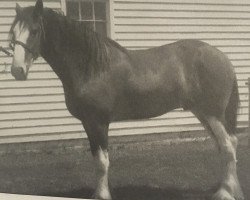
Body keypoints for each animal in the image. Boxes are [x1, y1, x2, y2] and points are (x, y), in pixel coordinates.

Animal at [9, 0, 244, 200]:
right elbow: (97, 158)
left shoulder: (98, 122)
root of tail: (223, 58)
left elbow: (102, 162)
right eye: (12, 33)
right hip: (203, 114)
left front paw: (102, 195)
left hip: (213, 114)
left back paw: (225, 193)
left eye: (34, 31)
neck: (92, 67)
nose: (16, 71)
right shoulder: (88, 123)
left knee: (228, 146)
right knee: (225, 146)